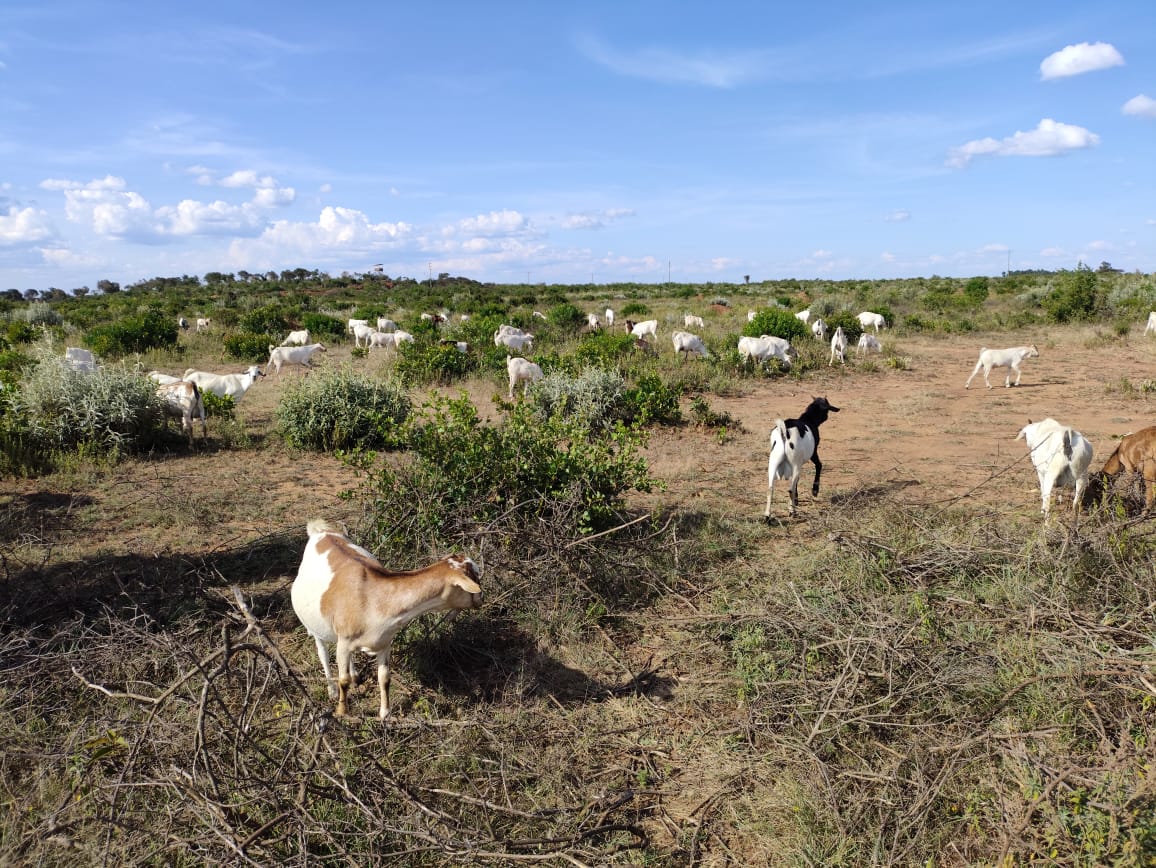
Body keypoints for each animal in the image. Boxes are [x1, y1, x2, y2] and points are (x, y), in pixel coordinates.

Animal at [293, 515, 487, 721]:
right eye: (474, 577)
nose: (482, 598)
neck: (371, 600)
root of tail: (320, 531)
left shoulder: (384, 642)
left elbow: (384, 678)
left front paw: (385, 713)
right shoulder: (345, 641)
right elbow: (342, 680)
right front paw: (342, 712)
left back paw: (355, 676)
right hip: (316, 627)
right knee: (323, 653)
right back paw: (331, 689)